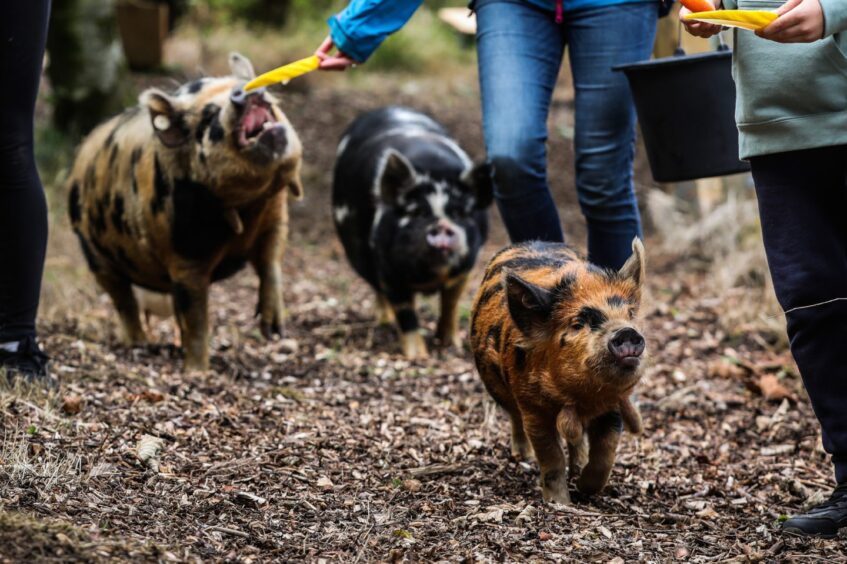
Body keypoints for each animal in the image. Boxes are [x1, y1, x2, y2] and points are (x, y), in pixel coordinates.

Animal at [67, 53, 304, 370]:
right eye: (209, 116)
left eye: (242, 83)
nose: (244, 90)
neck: (249, 205)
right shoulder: (184, 258)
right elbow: (197, 317)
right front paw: (198, 371)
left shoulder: (276, 217)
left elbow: (271, 262)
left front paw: (274, 332)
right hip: (94, 253)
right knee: (123, 300)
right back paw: (140, 344)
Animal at [332, 107, 490, 356]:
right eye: (418, 212)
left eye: (459, 213)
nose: (442, 226)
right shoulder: (388, 270)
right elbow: (406, 312)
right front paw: (418, 357)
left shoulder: (465, 269)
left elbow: (450, 304)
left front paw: (451, 345)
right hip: (356, 250)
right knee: (377, 288)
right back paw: (384, 321)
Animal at [470, 238, 648, 502]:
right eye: (577, 324)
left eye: (630, 314)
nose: (626, 331)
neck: (583, 399)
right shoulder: (533, 409)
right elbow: (551, 457)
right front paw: (559, 503)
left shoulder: (614, 404)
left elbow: (604, 454)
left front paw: (584, 488)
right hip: (496, 386)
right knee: (514, 416)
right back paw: (523, 457)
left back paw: (576, 468)